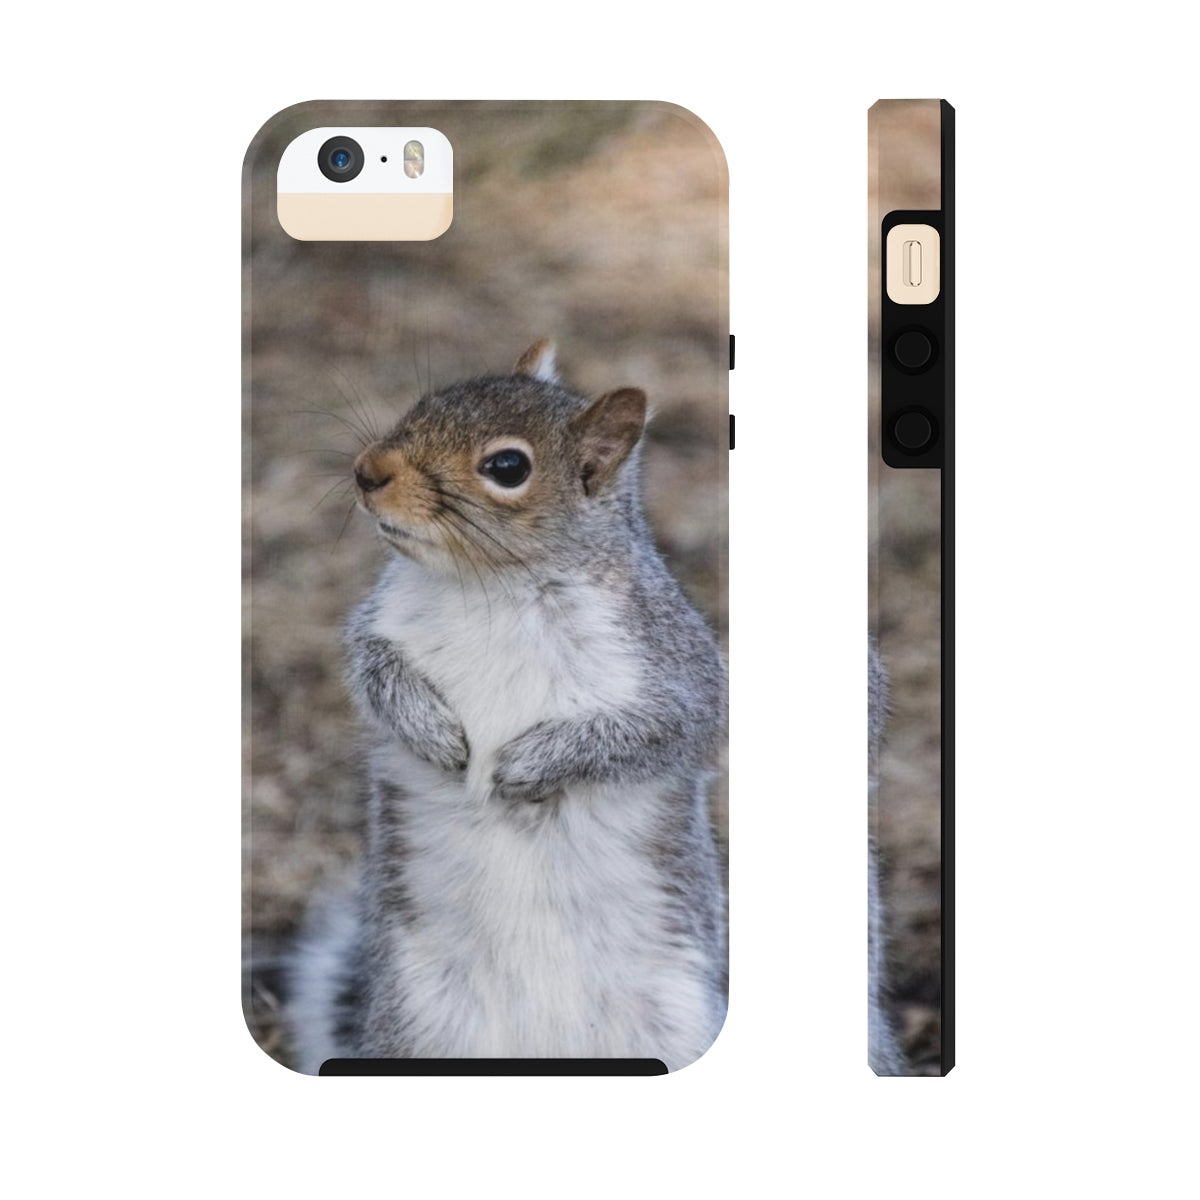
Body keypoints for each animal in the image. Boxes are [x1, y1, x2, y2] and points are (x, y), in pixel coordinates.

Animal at [287, 340, 728, 1072]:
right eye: (425, 403)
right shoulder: (379, 625)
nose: (367, 470)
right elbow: (373, 671)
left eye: (508, 467)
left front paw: (530, 765)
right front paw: (433, 732)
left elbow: (660, 731)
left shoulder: (673, 667)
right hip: (417, 1021)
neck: (490, 585)